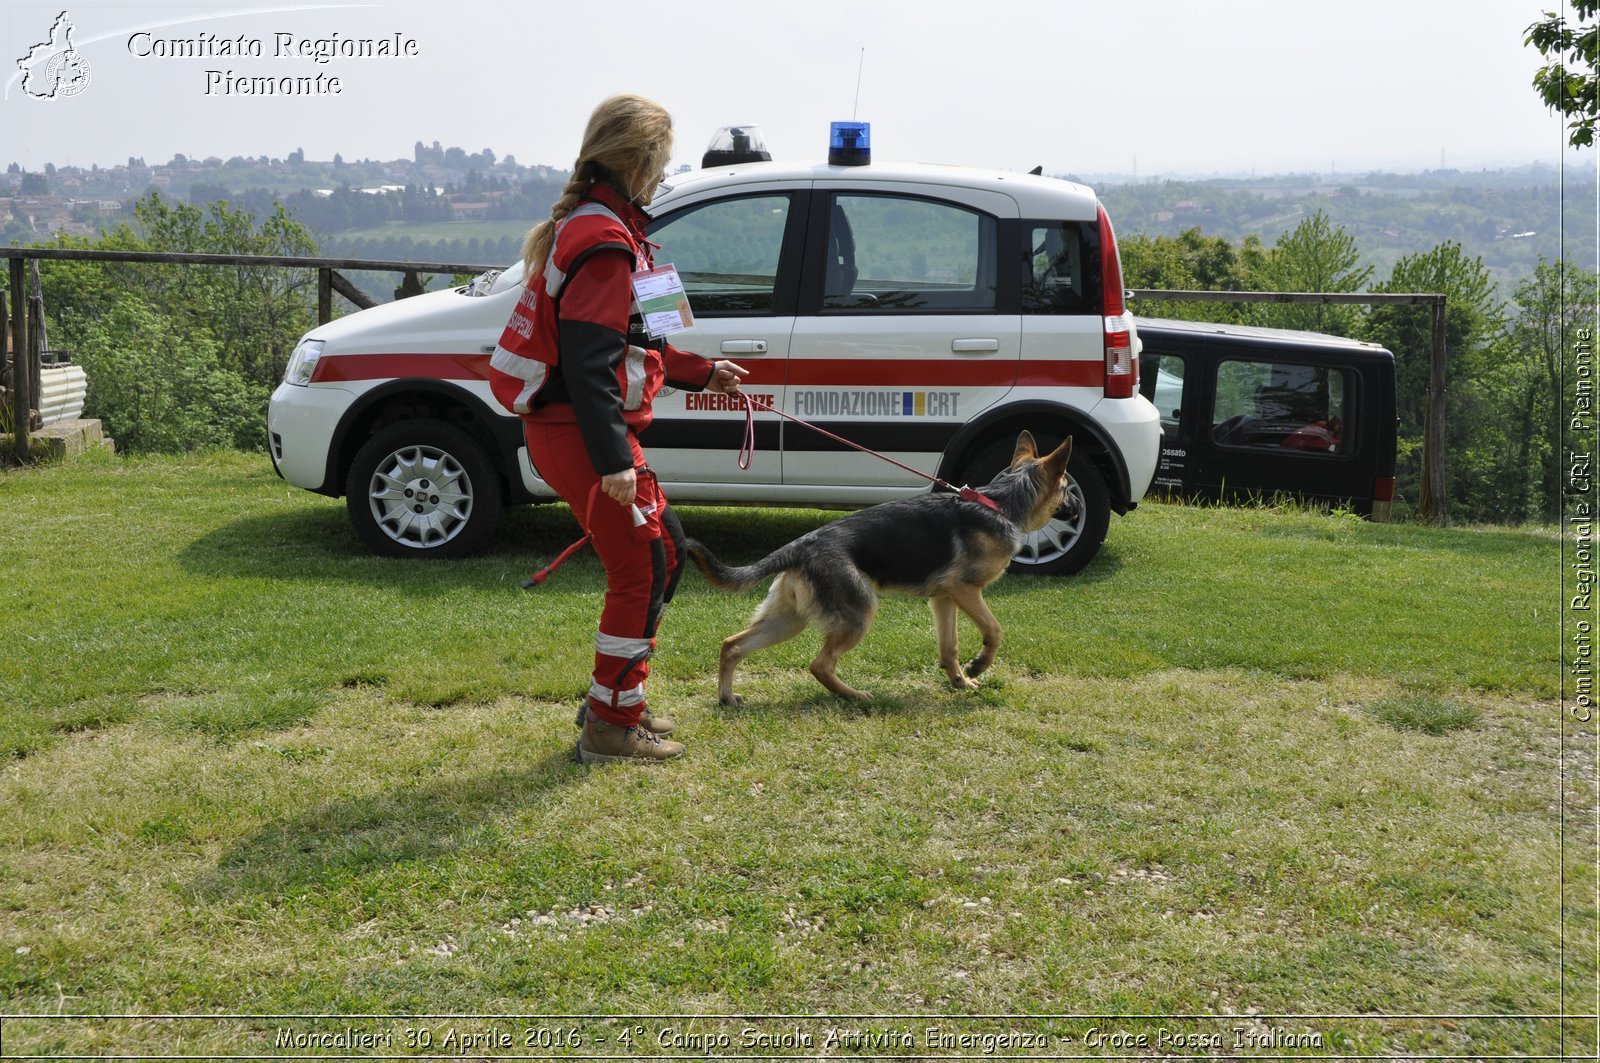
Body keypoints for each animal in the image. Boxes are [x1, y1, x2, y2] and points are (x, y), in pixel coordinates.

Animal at [688, 432, 1075, 704]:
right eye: (1068, 487)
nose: (1076, 505)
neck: (1001, 504)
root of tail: (799, 545)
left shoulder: (944, 599)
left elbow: (948, 647)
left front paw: (959, 681)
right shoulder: (966, 590)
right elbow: (994, 630)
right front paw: (978, 664)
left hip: (788, 621)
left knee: (732, 645)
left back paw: (726, 697)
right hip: (858, 615)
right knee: (819, 665)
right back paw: (856, 696)